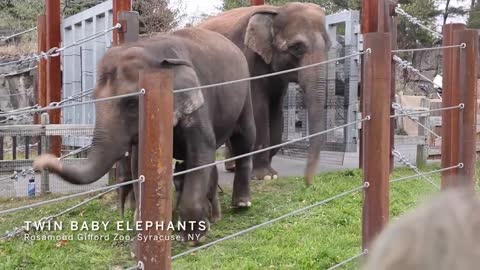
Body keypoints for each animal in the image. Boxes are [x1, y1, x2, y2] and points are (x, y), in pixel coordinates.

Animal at [33, 28, 255, 245]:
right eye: (94, 99)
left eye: (131, 102)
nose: (40, 162)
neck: (153, 49)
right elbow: (140, 165)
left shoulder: (198, 104)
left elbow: (201, 153)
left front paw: (193, 238)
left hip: (245, 91)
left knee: (244, 140)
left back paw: (240, 205)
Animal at [199, 1, 330, 186]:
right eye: (297, 48)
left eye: (329, 46)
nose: (308, 182)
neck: (277, 10)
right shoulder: (249, 59)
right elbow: (258, 109)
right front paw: (264, 176)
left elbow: (275, 110)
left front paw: (271, 173)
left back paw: (233, 168)